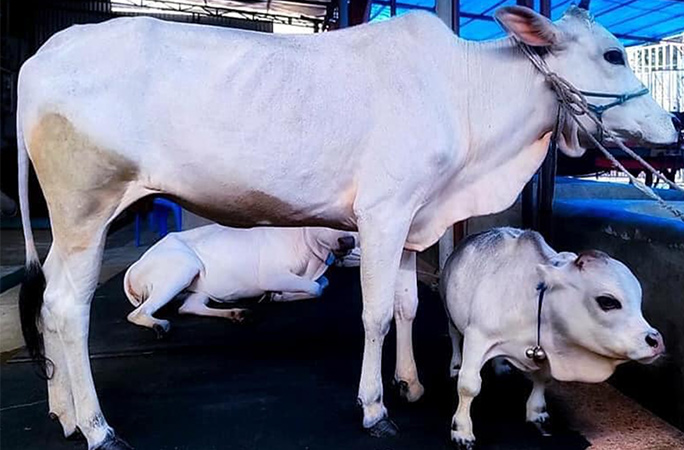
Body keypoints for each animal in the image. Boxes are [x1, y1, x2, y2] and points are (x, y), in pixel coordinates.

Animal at [124, 225, 358, 334]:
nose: (348, 241)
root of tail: (135, 265)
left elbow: (323, 283)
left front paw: (278, 295)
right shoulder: (271, 275)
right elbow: (316, 288)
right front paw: (278, 295)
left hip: (198, 288)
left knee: (189, 306)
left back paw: (238, 314)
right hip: (183, 268)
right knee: (138, 313)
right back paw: (159, 325)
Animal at [440, 229, 664, 450]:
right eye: (607, 301)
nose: (656, 341)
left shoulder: (548, 349)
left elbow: (543, 379)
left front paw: (537, 412)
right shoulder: (478, 336)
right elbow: (469, 386)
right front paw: (462, 431)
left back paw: (501, 366)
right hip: (449, 311)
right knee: (453, 335)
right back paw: (455, 365)